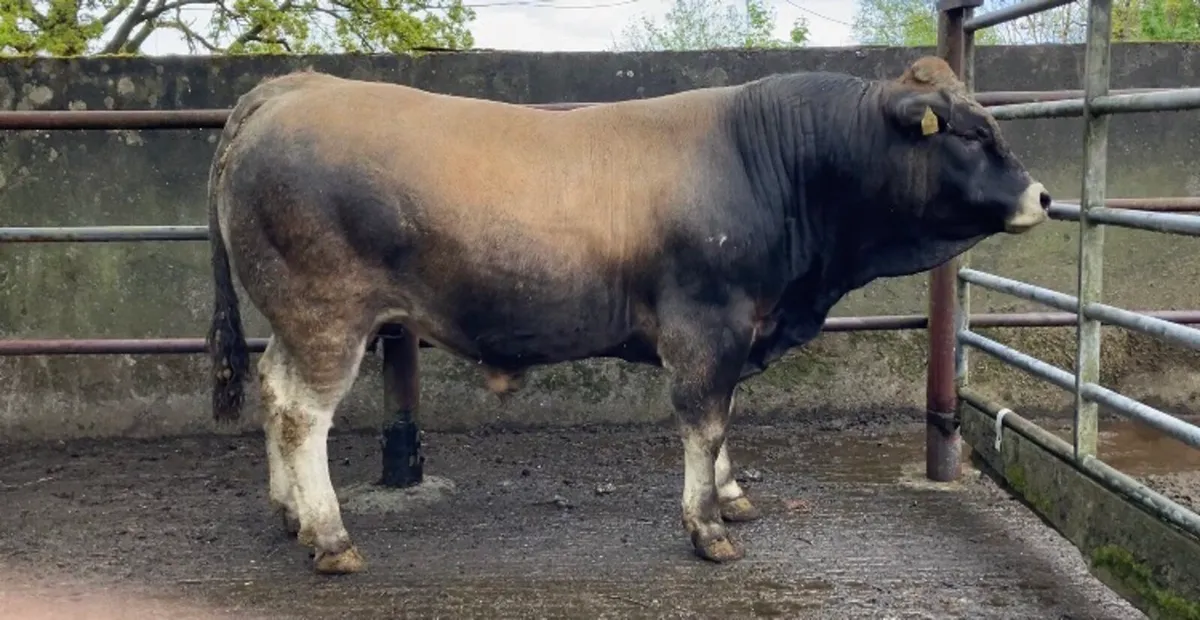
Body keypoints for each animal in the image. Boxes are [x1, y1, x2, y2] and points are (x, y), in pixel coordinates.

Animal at [204, 56, 1050, 575]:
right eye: (973, 132)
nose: (1044, 195)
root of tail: (294, 86)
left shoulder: (735, 331)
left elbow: (724, 424)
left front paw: (731, 499)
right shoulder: (706, 323)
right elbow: (704, 422)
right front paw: (707, 528)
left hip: (294, 320)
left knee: (274, 393)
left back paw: (289, 514)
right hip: (325, 314)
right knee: (303, 416)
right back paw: (330, 537)